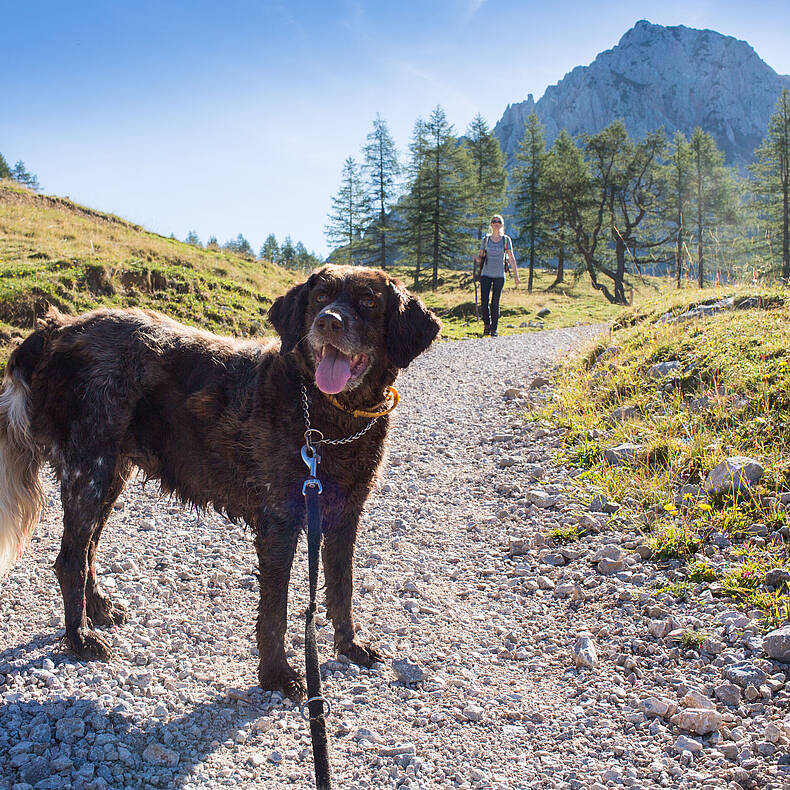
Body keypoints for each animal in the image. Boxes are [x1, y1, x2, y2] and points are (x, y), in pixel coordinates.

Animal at [0, 266, 440, 700]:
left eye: (368, 301)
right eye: (320, 297)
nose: (327, 322)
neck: (326, 413)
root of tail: (54, 328)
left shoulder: (344, 516)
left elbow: (341, 589)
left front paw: (350, 647)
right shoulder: (280, 523)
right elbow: (276, 610)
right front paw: (277, 675)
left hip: (109, 476)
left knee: (88, 549)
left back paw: (98, 609)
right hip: (88, 472)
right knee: (70, 559)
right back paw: (79, 638)